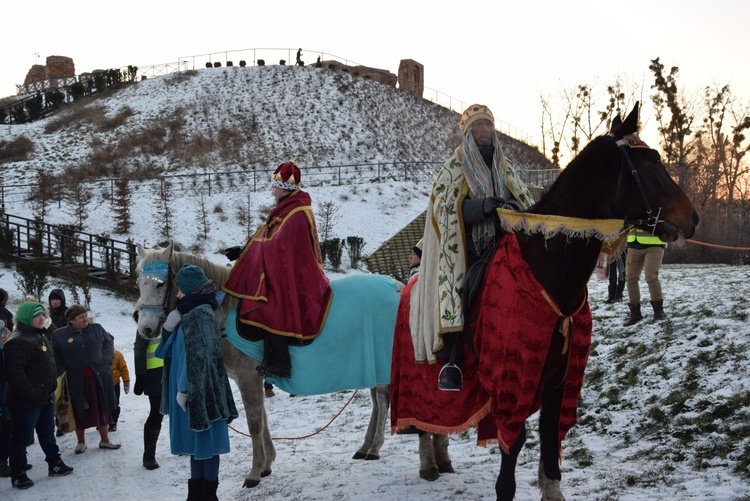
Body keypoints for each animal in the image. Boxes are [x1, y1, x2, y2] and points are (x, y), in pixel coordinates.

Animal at [137, 244, 402, 486]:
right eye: (139, 283)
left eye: (160, 284)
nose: (146, 329)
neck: (222, 309)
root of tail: (395, 286)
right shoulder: (255, 378)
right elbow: (263, 420)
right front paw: (266, 464)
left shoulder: (248, 378)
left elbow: (255, 423)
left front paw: (254, 472)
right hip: (372, 362)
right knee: (376, 403)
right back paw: (366, 446)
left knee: (382, 400)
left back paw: (375, 448)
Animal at [390, 103, 704, 498]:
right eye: (647, 164)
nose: (692, 217)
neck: (547, 270)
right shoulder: (513, 378)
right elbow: (515, 441)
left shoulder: (557, 378)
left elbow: (550, 436)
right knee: (424, 420)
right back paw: (429, 464)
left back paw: (442, 461)